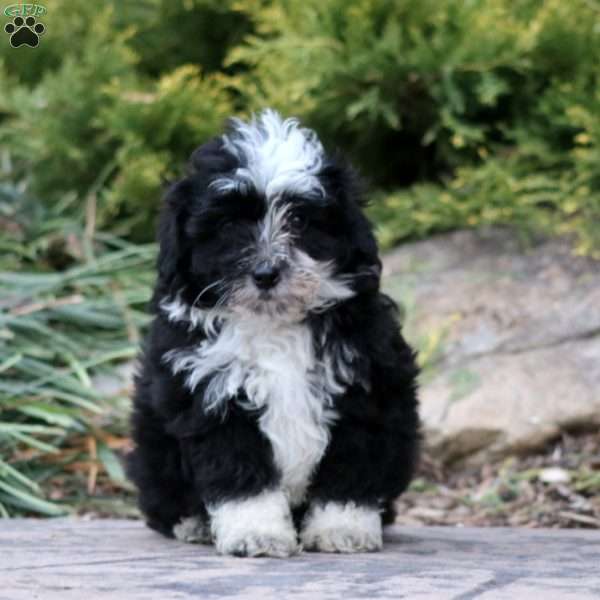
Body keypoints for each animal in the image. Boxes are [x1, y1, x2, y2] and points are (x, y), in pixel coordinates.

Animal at [127, 109, 418, 556]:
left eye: (298, 219)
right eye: (229, 223)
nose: (266, 273)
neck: (274, 324)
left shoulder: (366, 388)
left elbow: (351, 468)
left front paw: (342, 527)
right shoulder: (211, 397)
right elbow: (240, 474)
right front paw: (256, 533)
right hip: (153, 449)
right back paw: (193, 523)